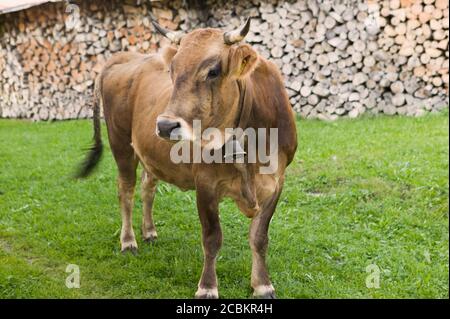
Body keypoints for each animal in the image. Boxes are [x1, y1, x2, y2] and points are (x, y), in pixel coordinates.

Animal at [76, 19, 298, 300]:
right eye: (173, 69)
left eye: (213, 71)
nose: (165, 125)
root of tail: (124, 56)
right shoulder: (205, 183)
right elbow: (212, 238)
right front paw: (207, 287)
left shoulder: (277, 182)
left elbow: (259, 237)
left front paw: (262, 285)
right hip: (121, 144)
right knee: (126, 190)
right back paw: (128, 241)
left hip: (150, 154)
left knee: (148, 186)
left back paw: (149, 231)